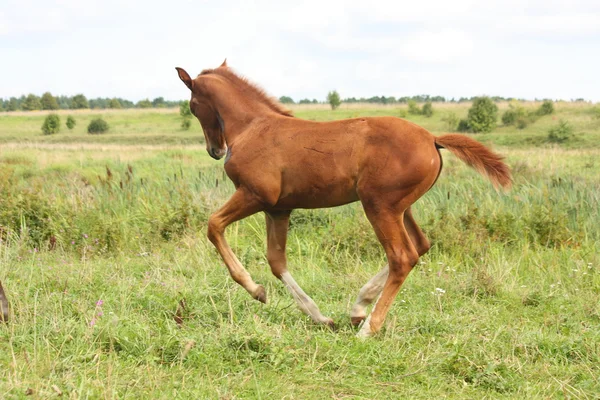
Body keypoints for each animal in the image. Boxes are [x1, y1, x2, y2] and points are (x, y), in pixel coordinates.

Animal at [176, 61, 508, 338]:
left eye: (193, 106)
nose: (215, 150)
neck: (252, 127)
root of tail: (432, 139)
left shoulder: (255, 195)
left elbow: (213, 225)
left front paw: (255, 289)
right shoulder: (279, 208)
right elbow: (276, 261)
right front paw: (320, 317)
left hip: (379, 206)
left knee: (403, 256)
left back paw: (368, 327)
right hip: (402, 207)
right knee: (420, 246)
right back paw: (359, 308)